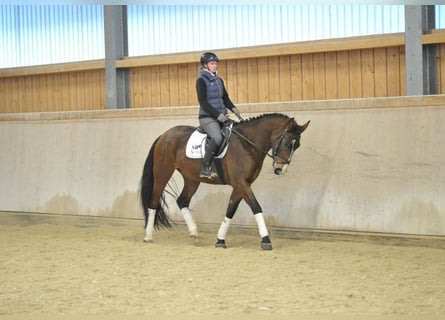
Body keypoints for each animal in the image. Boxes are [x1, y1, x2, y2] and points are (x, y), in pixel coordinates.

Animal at [140, 112, 308, 250]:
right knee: (154, 200)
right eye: (287, 142)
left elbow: (230, 209)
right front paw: (266, 240)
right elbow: (256, 207)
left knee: (182, 200)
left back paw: (194, 233)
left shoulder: (241, 185)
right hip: (163, 173)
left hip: (191, 178)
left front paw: (220, 240)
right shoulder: (241, 183)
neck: (247, 144)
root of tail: (164, 135)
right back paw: (148, 236)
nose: (281, 170)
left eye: (297, 146)